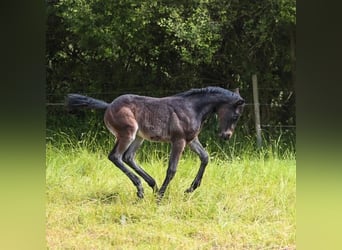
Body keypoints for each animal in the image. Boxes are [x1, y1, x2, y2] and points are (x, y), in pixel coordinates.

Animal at [66, 87, 243, 200]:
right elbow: (172, 169)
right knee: (116, 156)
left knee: (128, 157)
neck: (192, 108)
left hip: (139, 137)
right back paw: (142, 187)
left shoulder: (191, 139)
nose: (226, 136)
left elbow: (205, 157)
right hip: (128, 133)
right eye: (236, 116)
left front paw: (190, 189)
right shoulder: (178, 140)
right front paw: (161, 196)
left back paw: (151, 185)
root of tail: (109, 105)